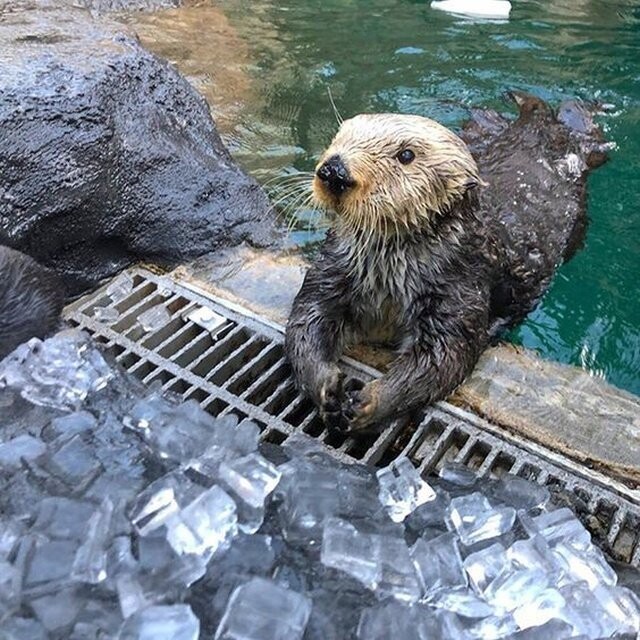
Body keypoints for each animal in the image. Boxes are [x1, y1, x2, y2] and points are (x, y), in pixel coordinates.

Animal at [284, 92, 608, 432]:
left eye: (406, 154)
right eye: (339, 137)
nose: (334, 171)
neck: (387, 273)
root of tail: (540, 127)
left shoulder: (459, 290)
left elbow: (442, 357)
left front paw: (369, 401)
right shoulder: (333, 273)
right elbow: (307, 320)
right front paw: (327, 388)